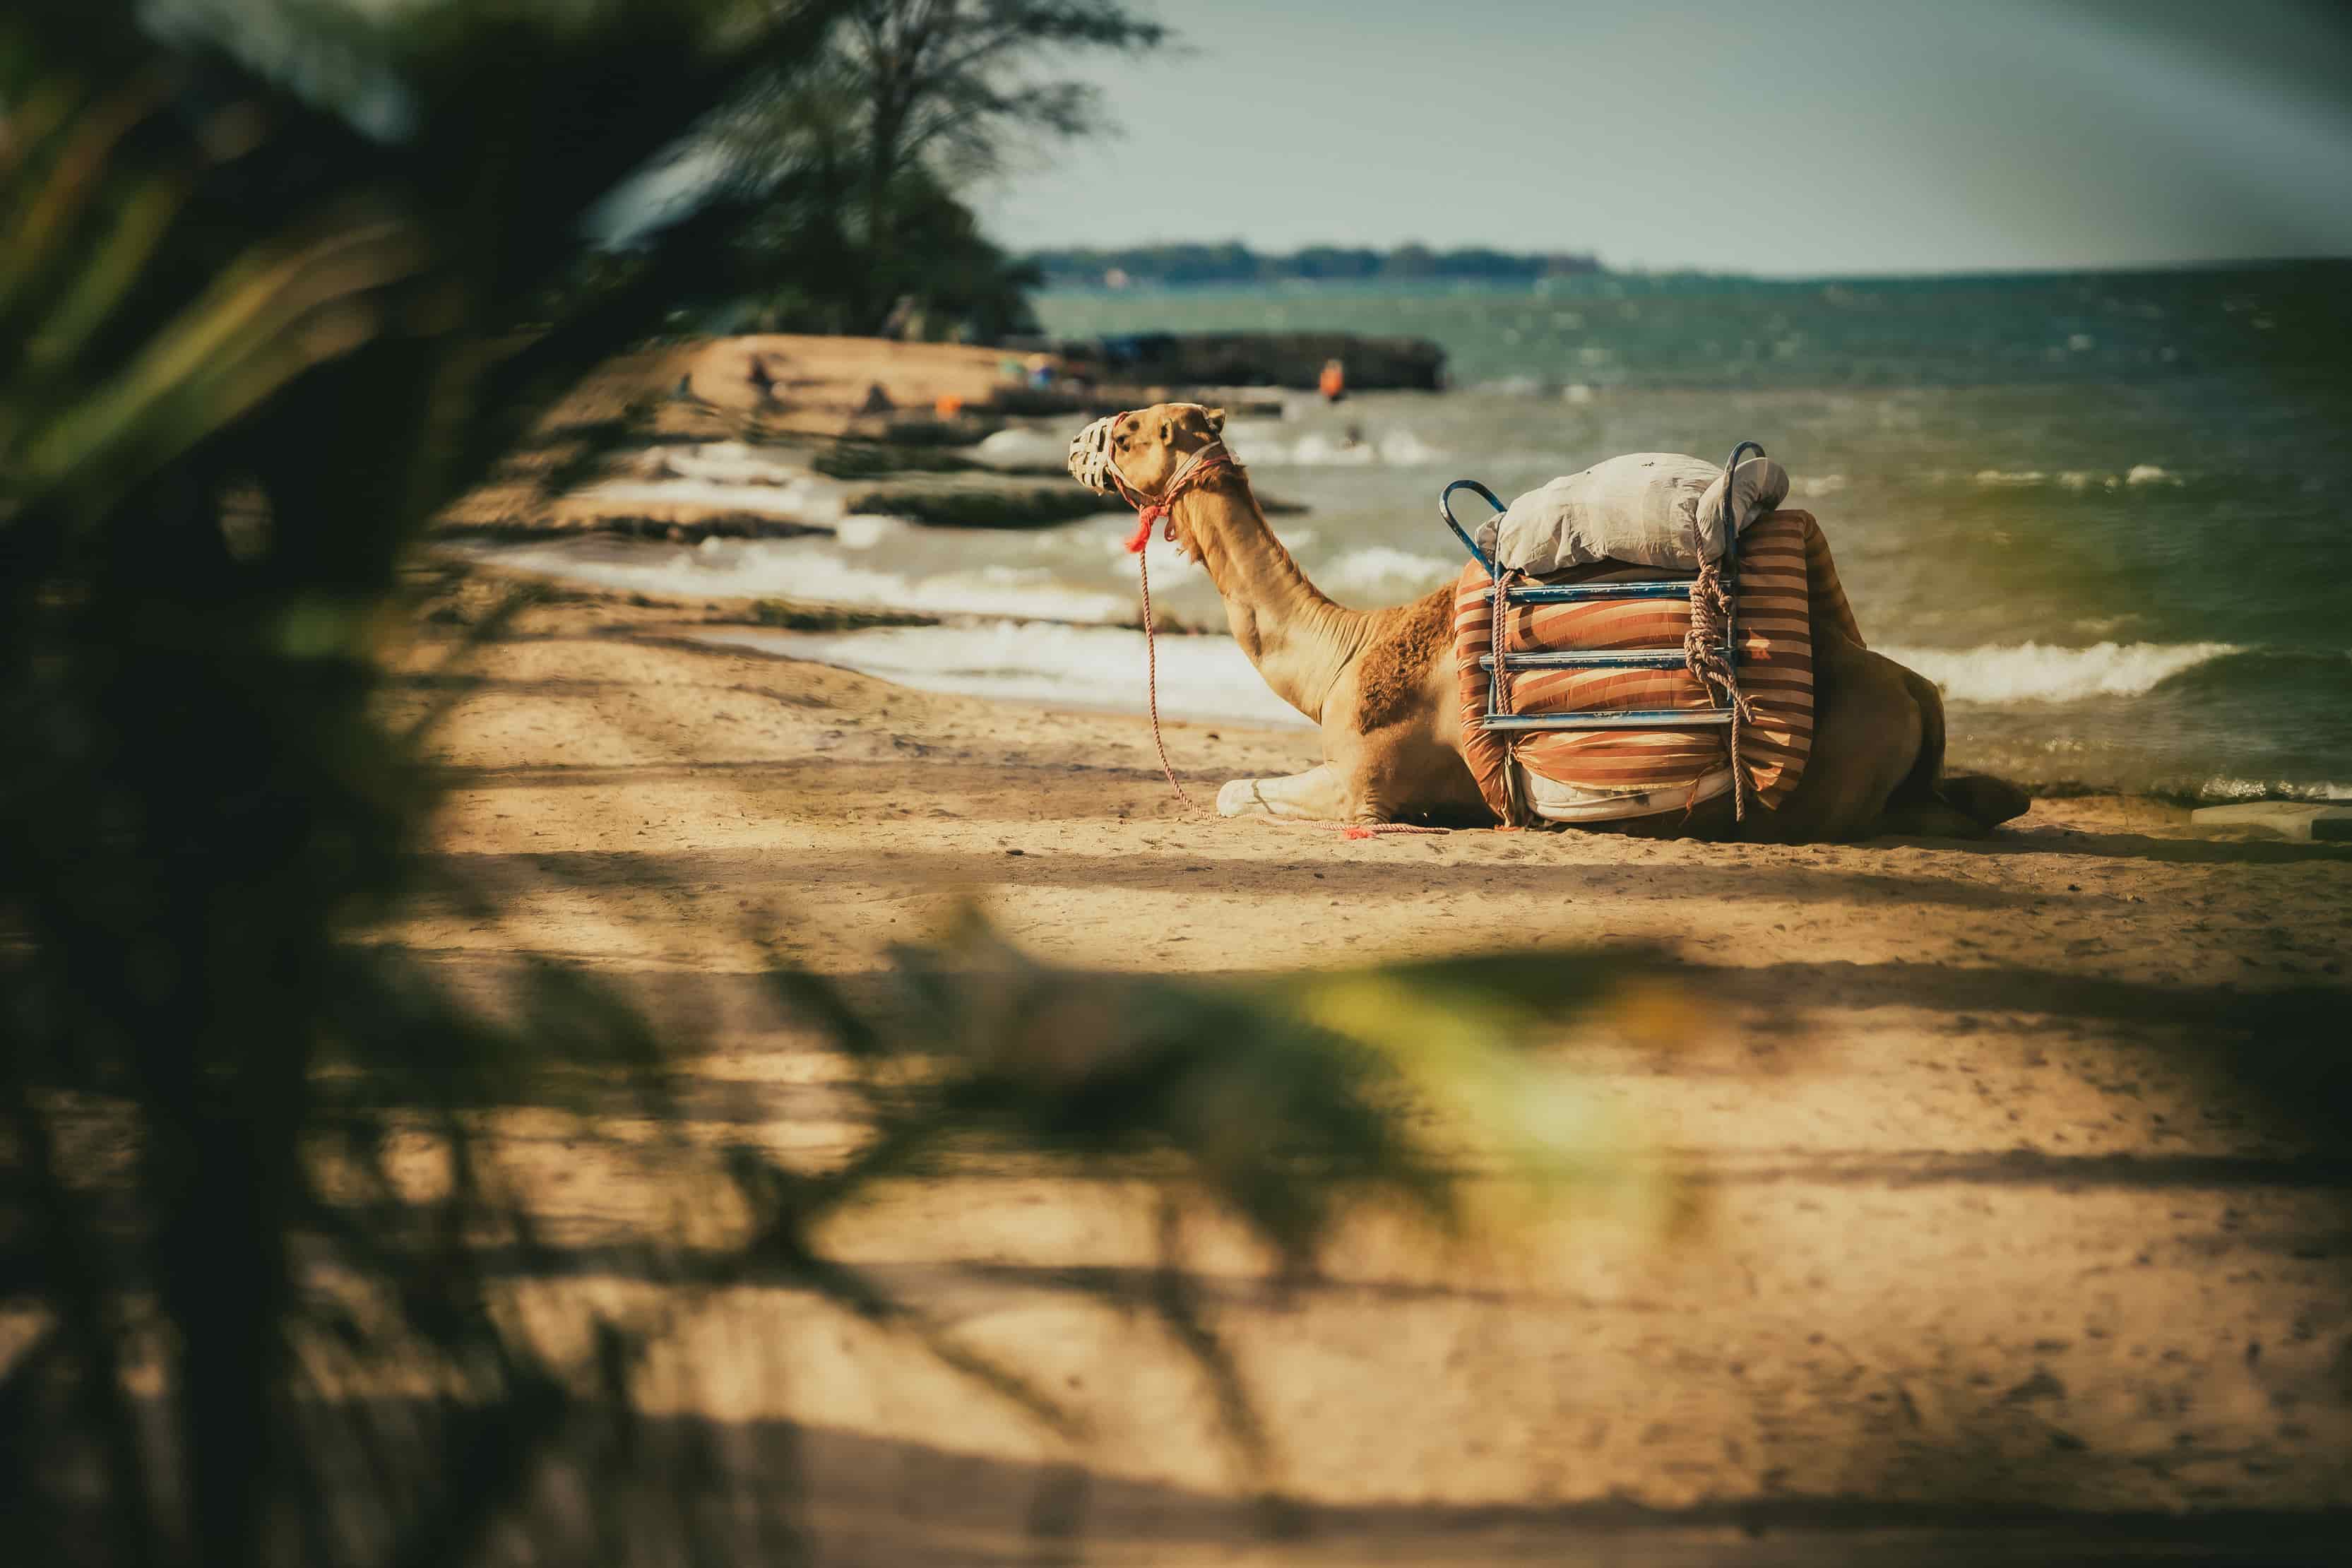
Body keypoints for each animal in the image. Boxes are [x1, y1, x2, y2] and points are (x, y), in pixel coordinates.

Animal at [1078, 402, 2028, 841]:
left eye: (1133, 432)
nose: (1084, 440)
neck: (1344, 655)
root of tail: (1920, 689)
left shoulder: (1363, 783)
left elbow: (1234, 791)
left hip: (1837, 784)